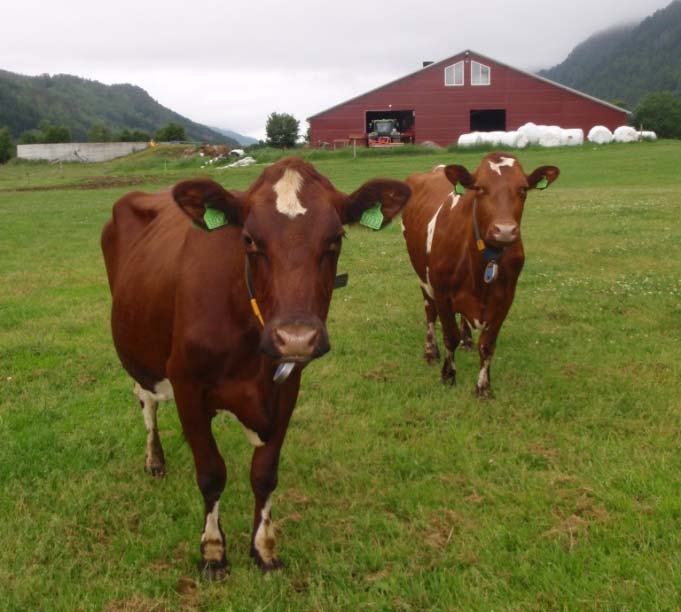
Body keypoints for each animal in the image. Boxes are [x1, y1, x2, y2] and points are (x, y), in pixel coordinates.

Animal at [101, 158, 410, 580]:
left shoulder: (287, 387)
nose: (295, 337)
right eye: (248, 239)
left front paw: (263, 548)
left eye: (336, 239)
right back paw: (154, 459)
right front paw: (213, 551)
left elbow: (264, 473)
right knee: (145, 400)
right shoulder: (186, 384)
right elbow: (211, 473)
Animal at [402, 151, 556, 394]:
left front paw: (483, 387)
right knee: (429, 312)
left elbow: (488, 343)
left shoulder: (506, 297)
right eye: (480, 188)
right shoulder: (442, 292)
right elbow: (450, 336)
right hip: (422, 277)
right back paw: (430, 352)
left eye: (523, 189)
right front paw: (448, 375)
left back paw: (467, 341)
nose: (504, 230)